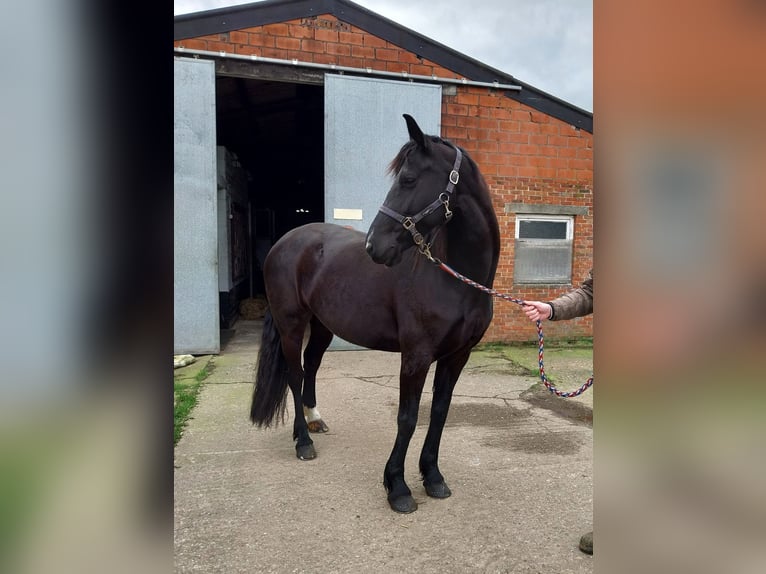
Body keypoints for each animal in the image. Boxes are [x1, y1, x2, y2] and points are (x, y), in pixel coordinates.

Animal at [254, 115, 504, 516]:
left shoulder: (457, 356)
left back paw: (311, 422)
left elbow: (439, 412)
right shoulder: (416, 355)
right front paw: (397, 486)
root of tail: (285, 242)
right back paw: (303, 442)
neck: (455, 279)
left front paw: (433, 477)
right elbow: (407, 417)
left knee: (311, 366)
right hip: (291, 324)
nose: (375, 246)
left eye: (409, 179)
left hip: (322, 326)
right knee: (295, 374)